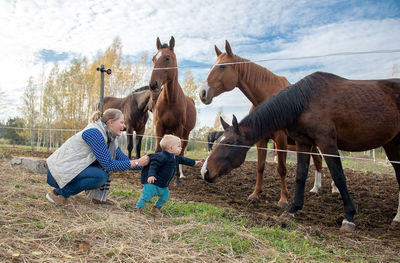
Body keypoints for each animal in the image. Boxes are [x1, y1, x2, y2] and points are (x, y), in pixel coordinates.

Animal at [149, 36, 196, 187]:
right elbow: (158, 149)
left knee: (182, 150)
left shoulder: (179, 128)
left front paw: (176, 180)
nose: (153, 84)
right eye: (153, 58)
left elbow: (178, 154)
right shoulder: (159, 127)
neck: (170, 100)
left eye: (167, 58)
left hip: (185, 133)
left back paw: (180, 175)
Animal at [198, 39, 332, 208]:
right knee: (318, 161)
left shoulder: (280, 140)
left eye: (222, 66)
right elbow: (260, 166)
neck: (268, 98)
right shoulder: (261, 139)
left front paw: (283, 199)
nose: (202, 93)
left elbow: (281, 169)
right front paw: (255, 194)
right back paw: (315, 188)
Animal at [202, 71, 400, 232]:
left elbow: (339, 176)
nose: (205, 171)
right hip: (392, 144)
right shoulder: (303, 143)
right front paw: (292, 209)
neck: (306, 100)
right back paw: (397, 219)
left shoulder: (326, 143)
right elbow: (300, 175)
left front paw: (349, 217)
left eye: (229, 142)